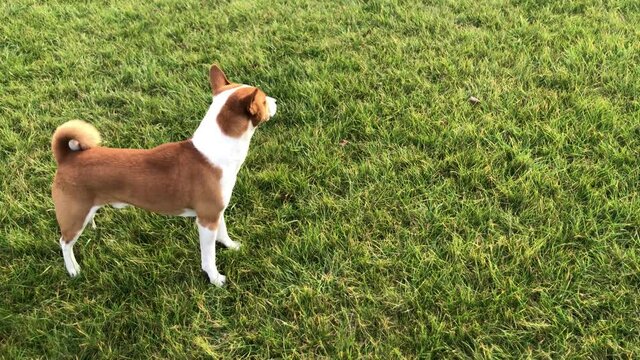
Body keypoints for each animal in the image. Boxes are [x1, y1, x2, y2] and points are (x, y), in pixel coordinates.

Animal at [49, 63, 278, 286]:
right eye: (264, 100)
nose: (276, 101)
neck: (215, 149)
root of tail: (67, 157)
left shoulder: (216, 212)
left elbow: (223, 232)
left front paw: (231, 246)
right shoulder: (205, 220)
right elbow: (208, 257)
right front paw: (215, 279)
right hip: (73, 216)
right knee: (64, 243)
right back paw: (73, 269)